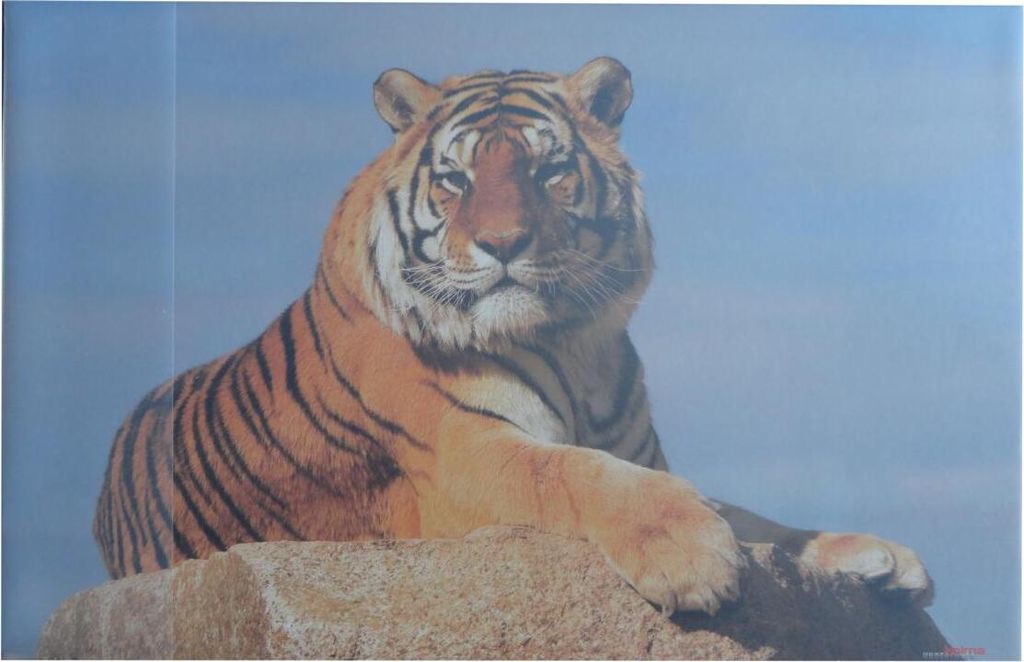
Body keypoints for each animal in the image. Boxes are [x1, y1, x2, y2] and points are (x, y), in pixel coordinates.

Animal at [94, 57, 933, 614]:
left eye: (546, 170)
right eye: (456, 180)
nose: (503, 243)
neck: (577, 345)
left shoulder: (647, 454)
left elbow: (753, 516)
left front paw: (882, 557)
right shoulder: (464, 453)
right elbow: (578, 474)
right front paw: (690, 558)